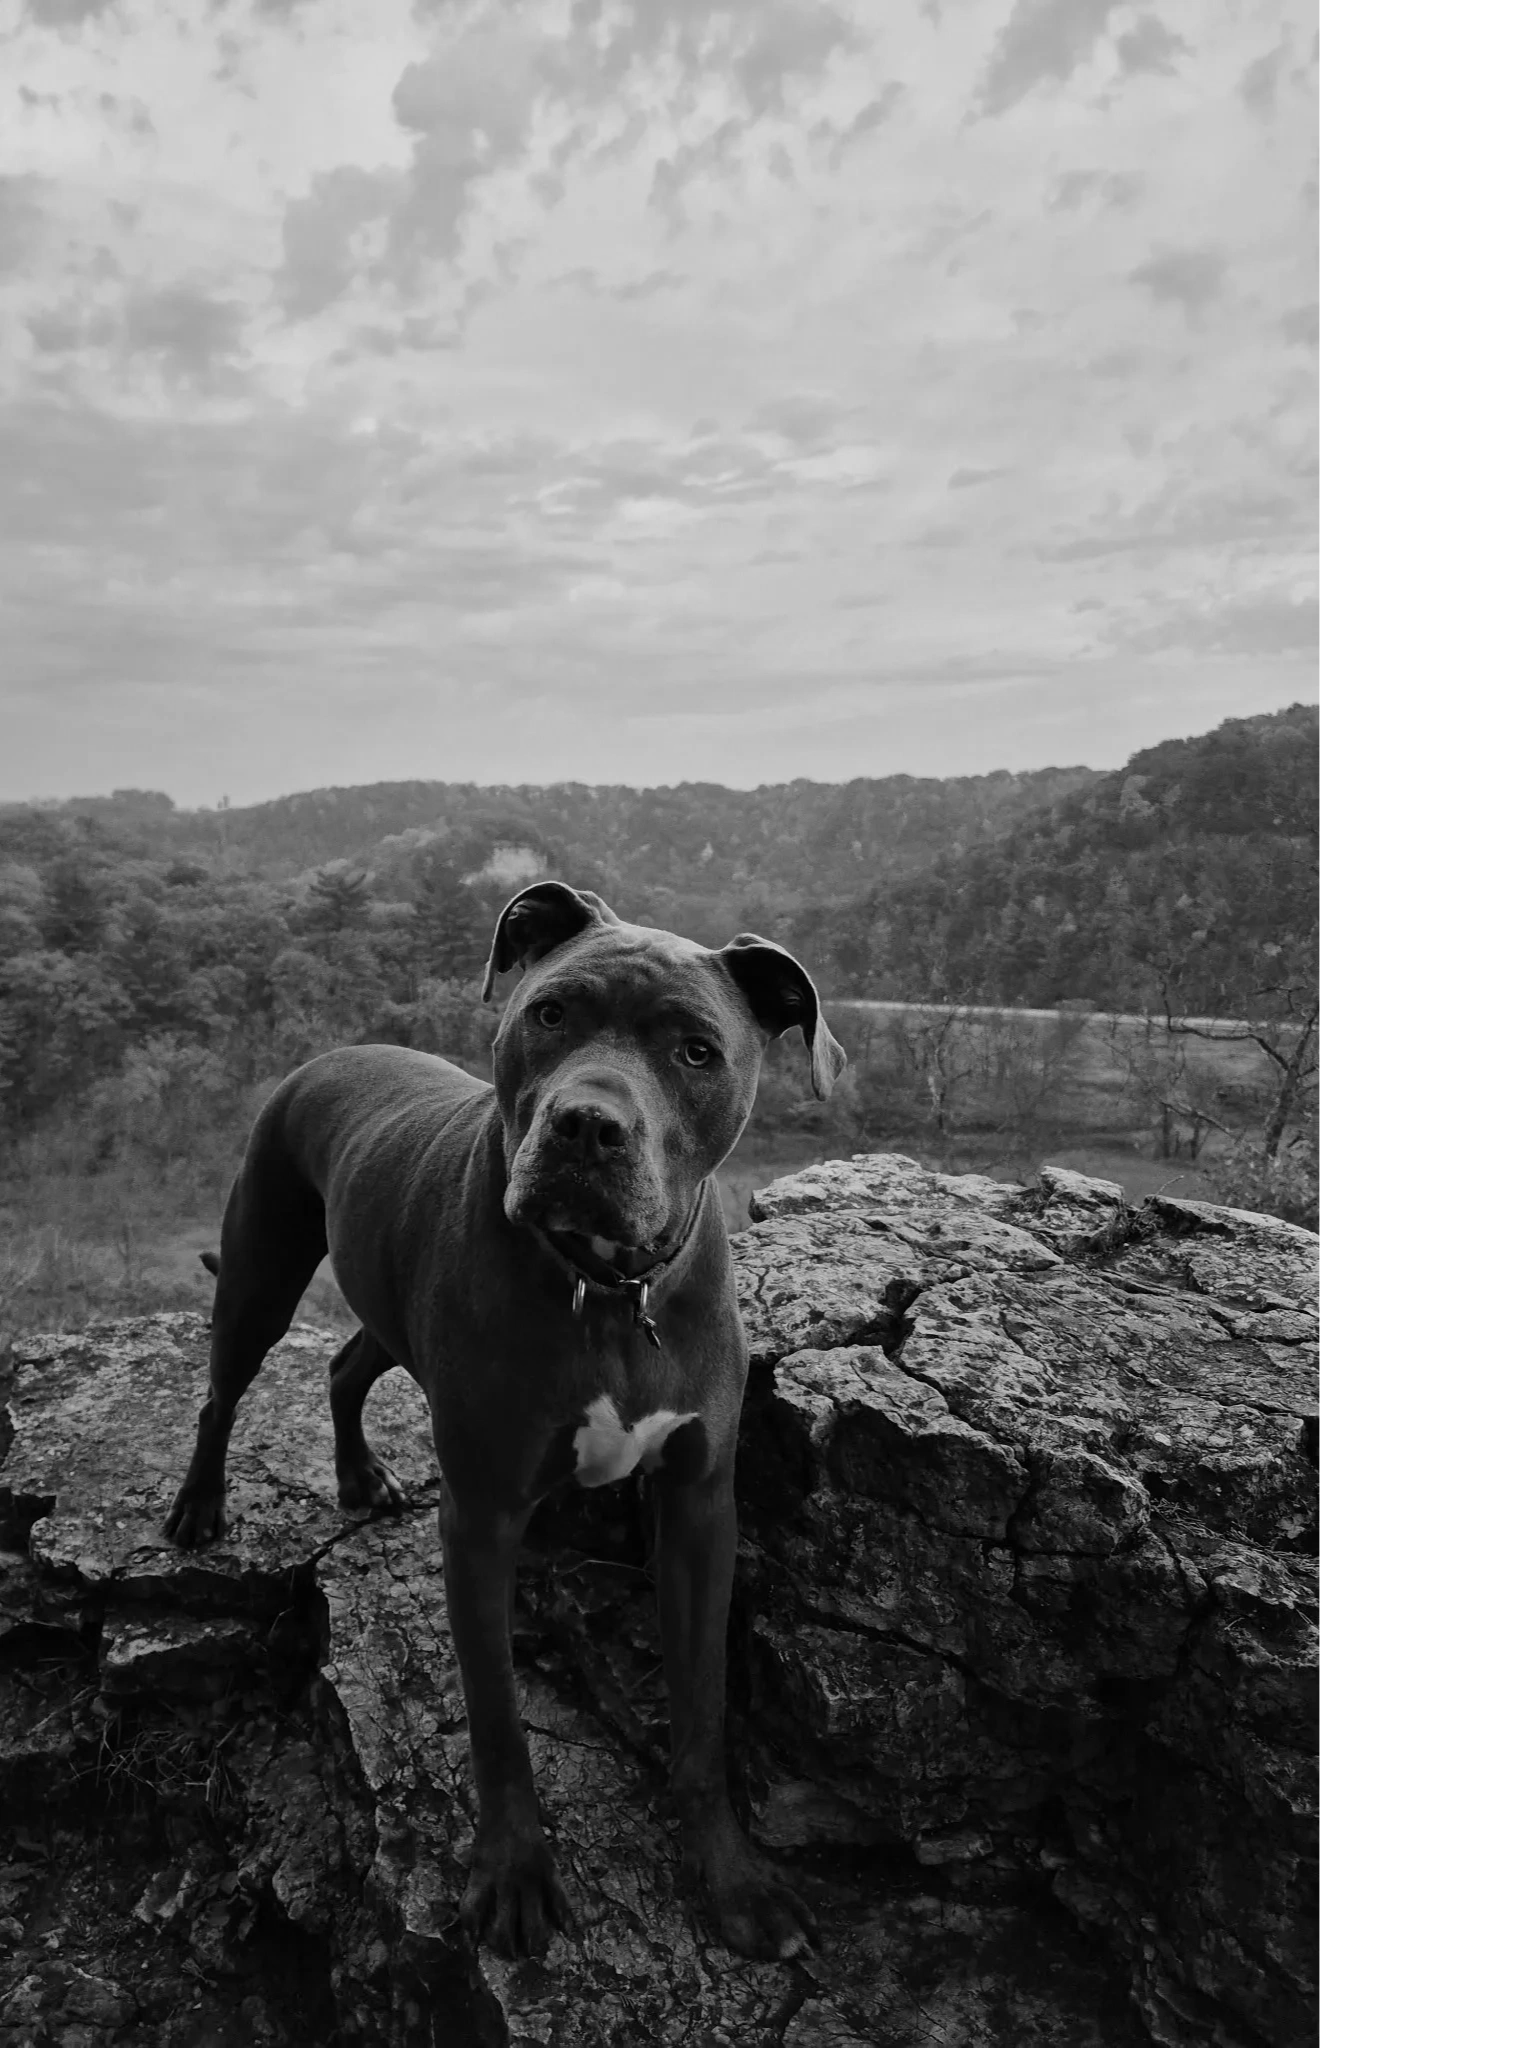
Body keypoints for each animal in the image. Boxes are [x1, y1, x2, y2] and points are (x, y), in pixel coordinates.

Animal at [163, 881, 844, 1961]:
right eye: (550, 1012)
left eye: (697, 1050)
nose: (586, 1125)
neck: (607, 1288)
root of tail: (335, 1052)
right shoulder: (482, 1518)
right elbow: (495, 1715)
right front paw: (514, 1874)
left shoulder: (700, 1504)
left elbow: (701, 1706)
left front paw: (731, 1874)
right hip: (261, 1269)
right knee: (222, 1390)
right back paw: (198, 1504)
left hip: (384, 1301)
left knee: (348, 1364)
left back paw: (358, 1475)